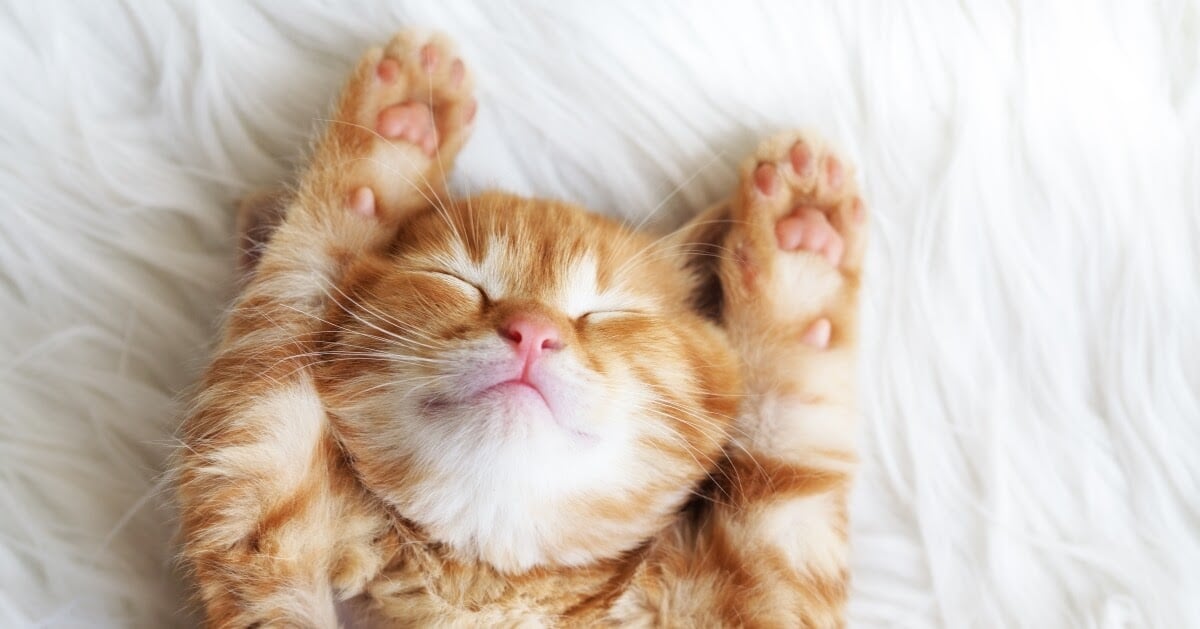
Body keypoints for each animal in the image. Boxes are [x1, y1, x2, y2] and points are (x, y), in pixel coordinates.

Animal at [174, 30, 868, 629]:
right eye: (457, 279)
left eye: (605, 312)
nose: (532, 331)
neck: (490, 577)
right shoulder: (255, 517)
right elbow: (284, 313)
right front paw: (390, 134)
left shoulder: (775, 591)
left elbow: (792, 469)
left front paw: (803, 254)